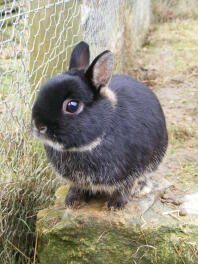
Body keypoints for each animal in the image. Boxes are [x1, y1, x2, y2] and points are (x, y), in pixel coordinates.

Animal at [30, 41, 167, 209]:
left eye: (72, 106)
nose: (38, 125)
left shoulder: (131, 172)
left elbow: (125, 187)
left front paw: (115, 205)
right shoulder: (77, 181)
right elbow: (77, 188)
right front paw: (71, 201)